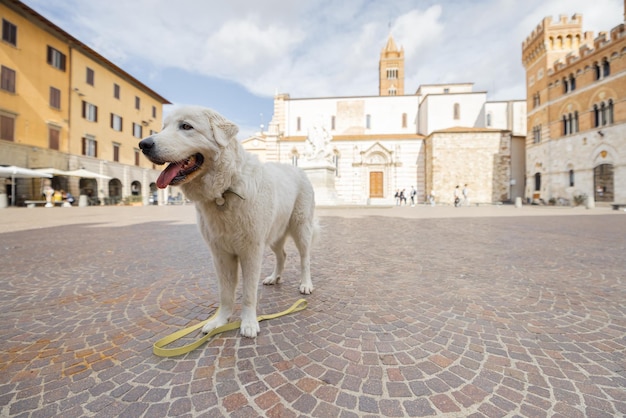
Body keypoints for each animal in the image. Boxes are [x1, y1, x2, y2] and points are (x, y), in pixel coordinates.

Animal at [141, 107, 316, 336]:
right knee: (282, 255)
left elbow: (249, 293)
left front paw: (249, 324)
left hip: (301, 229)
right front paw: (220, 321)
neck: (224, 191)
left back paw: (305, 284)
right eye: (163, 128)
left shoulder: (251, 252)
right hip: (273, 235)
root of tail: (298, 169)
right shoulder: (221, 254)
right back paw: (274, 278)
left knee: (305, 260)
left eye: (186, 126)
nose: (143, 144)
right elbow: (225, 293)